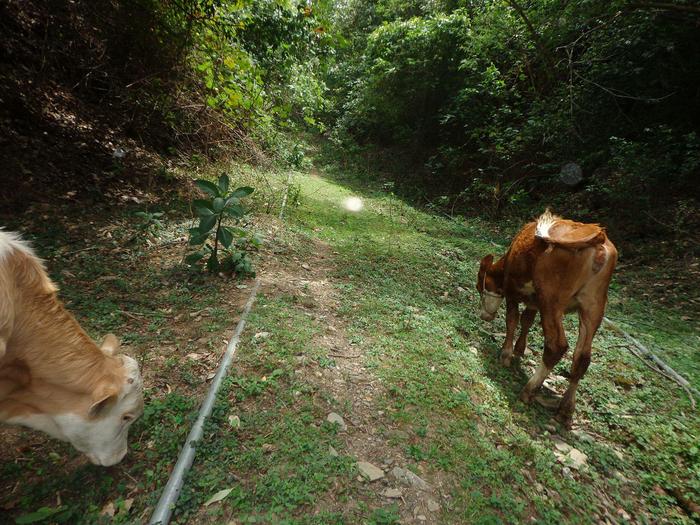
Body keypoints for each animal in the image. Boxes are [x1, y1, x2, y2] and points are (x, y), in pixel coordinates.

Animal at [476, 209, 616, 426]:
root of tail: (598, 237)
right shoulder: (534, 302)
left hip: (552, 300)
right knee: (582, 357)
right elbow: (526, 320)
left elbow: (512, 320)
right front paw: (519, 350)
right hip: (594, 307)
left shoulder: (512, 291)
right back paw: (565, 410)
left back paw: (528, 391)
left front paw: (506, 354)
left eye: (478, 286)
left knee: (556, 345)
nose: (484, 315)